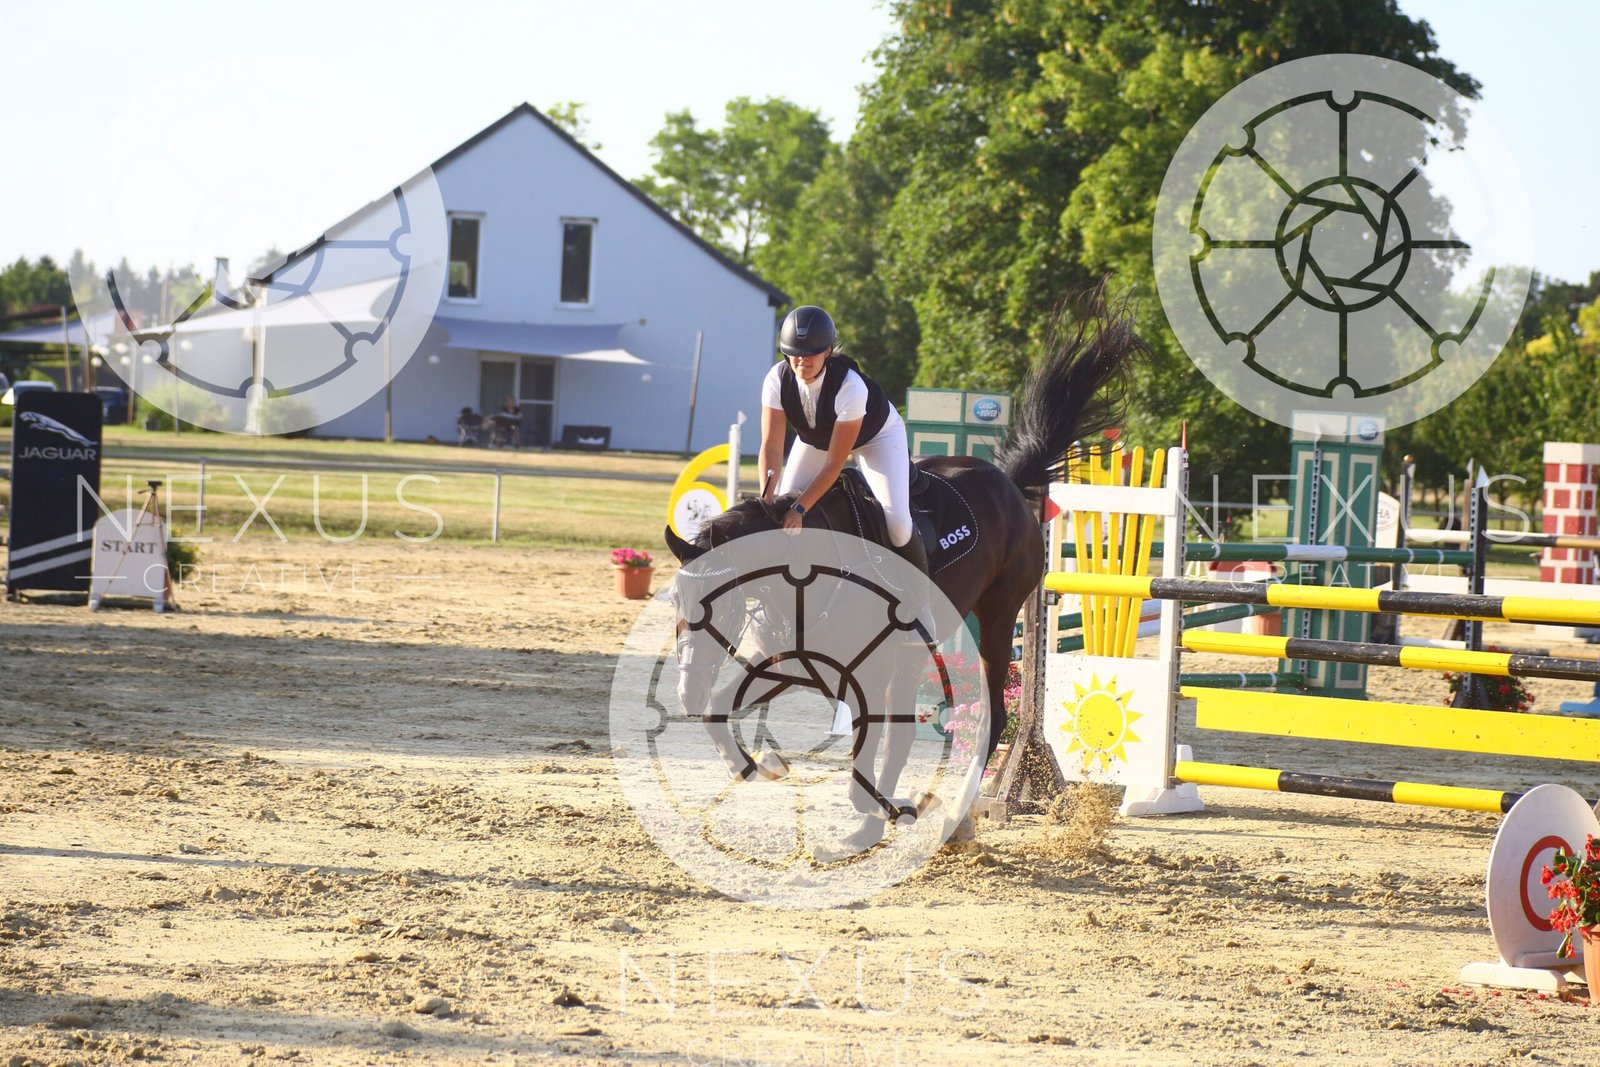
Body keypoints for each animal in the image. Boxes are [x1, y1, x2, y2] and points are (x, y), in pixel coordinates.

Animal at [663, 297, 1148, 840]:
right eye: (674, 601)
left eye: (716, 602)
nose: (685, 688)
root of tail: (1007, 482)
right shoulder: (789, 659)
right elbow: (719, 709)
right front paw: (762, 765)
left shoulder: (869, 666)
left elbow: (869, 744)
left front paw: (873, 807)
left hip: (996, 617)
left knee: (990, 719)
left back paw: (950, 815)